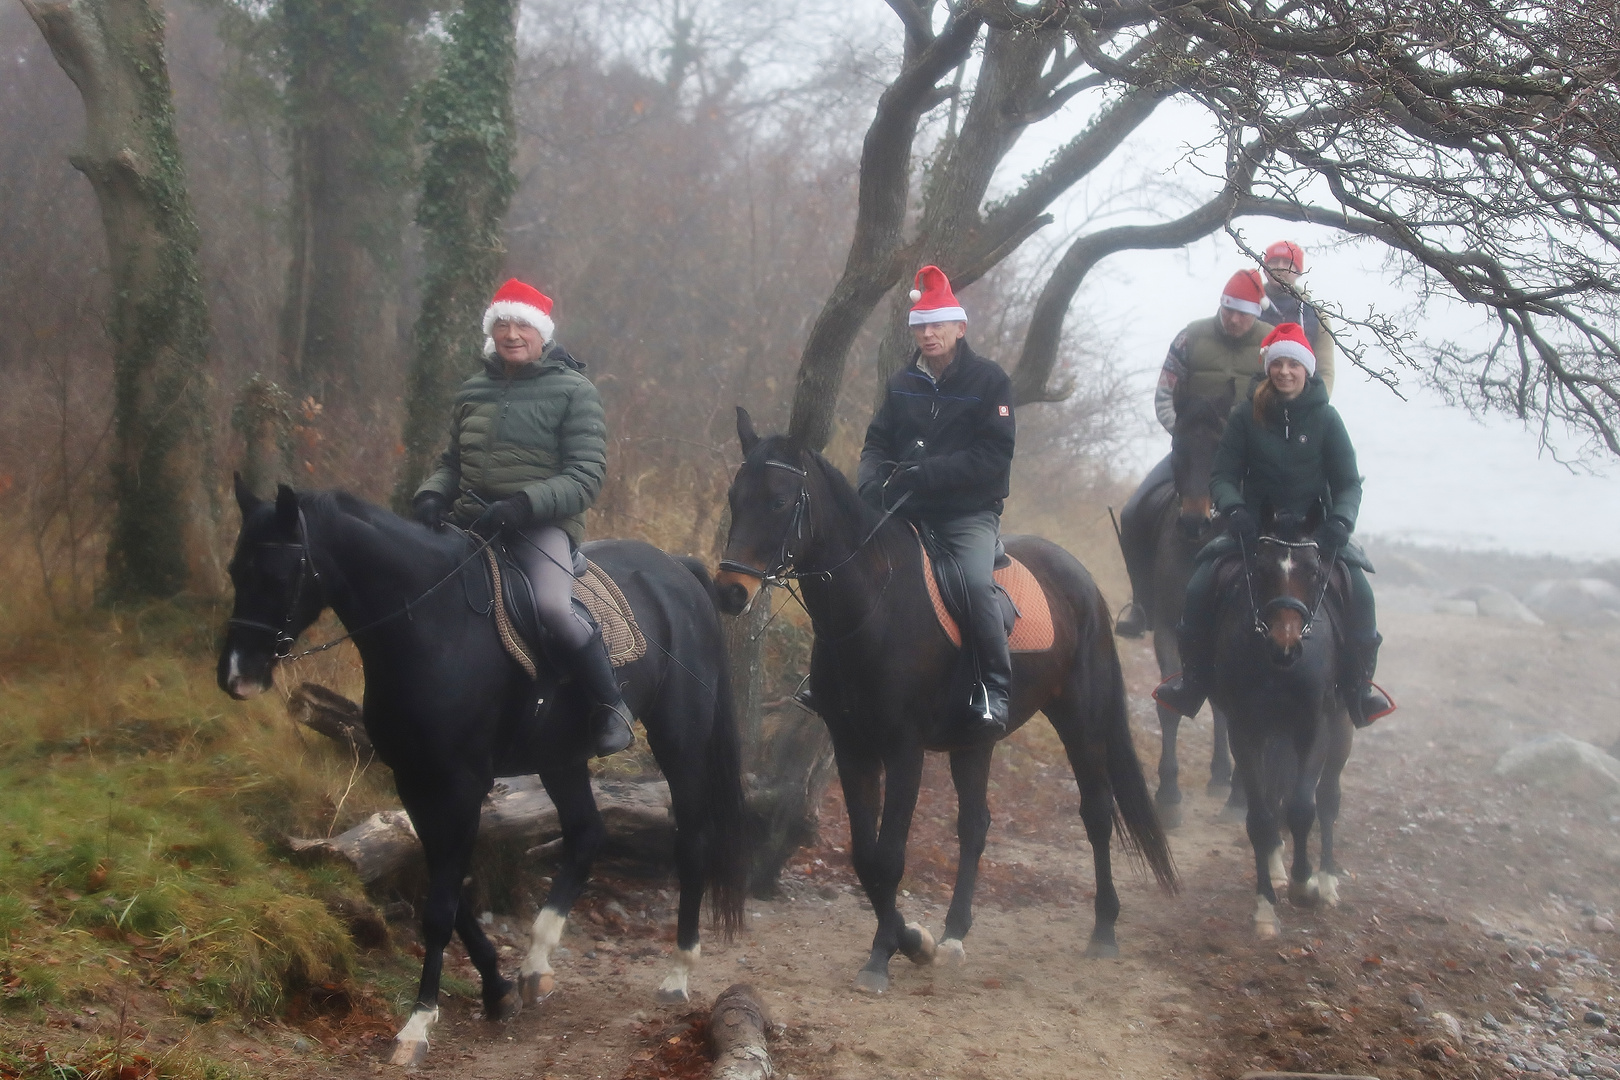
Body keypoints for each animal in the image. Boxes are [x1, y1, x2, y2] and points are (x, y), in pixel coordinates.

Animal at [217, 482, 745, 1062]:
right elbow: (448, 897)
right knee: (587, 834)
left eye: (280, 574)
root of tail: (677, 569)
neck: (432, 623)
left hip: (680, 740)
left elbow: (441, 907)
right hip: (560, 756)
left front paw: (418, 1025)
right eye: (236, 570)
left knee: (691, 841)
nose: (236, 676)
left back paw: (678, 972)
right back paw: (536, 966)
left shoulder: (462, 786)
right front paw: (496, 989)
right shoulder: (415, 781)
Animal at [716, 409, 1172, 990]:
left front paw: (887, 954)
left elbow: (889, 856)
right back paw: (954, 934)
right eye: (735, 497)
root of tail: (1083, 580)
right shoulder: (852, 746)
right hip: (974, 742)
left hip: (1081, 719)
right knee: (975, 826)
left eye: (777, 501)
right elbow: (865, 856)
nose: (729, 591)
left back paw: (1104, 930)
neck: (874, 603)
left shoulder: (904, 750)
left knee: (1096, 813)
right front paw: (912, 941)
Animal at [1218, 508, 1354, 939]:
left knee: (1327, 798)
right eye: (1261, 569)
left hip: (1341, 728)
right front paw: (1265, 907)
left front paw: (1303, 886)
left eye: (1312, 571)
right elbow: (1261, 816)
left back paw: (1326, 881)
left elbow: (1302, 806)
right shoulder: (1245, 731)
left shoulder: (1314, 728)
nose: (1285, 645)